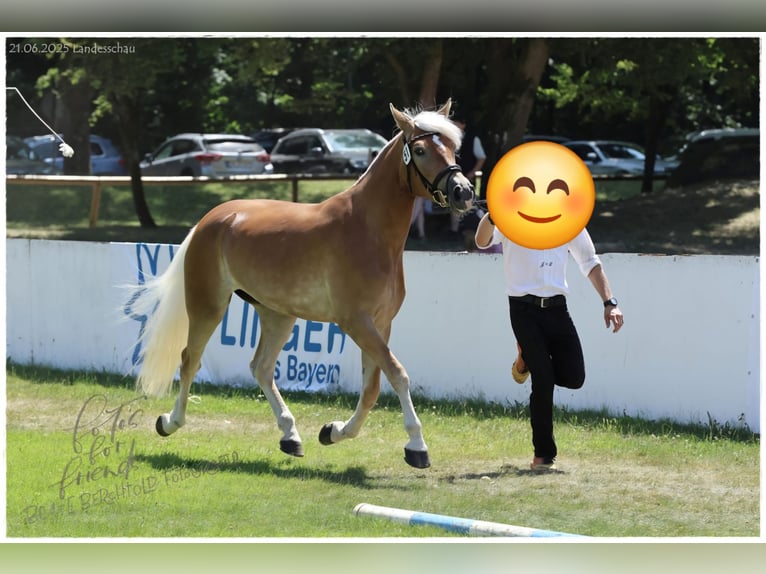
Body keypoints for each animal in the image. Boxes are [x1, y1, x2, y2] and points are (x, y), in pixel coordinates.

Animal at [131, 99, 474, 469]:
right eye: (421, 150)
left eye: (452, 147)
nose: (464, 192)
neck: (368, 230)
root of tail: (211, 219)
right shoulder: (356, 322)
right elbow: (397, 374)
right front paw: (417, 446)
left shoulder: (380, 324)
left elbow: (371, 388)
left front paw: (333, 431)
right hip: (208, 307)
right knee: (189, 360)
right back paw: (170, 422)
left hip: (278, 315)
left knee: (261, 368)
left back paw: (290, 436)